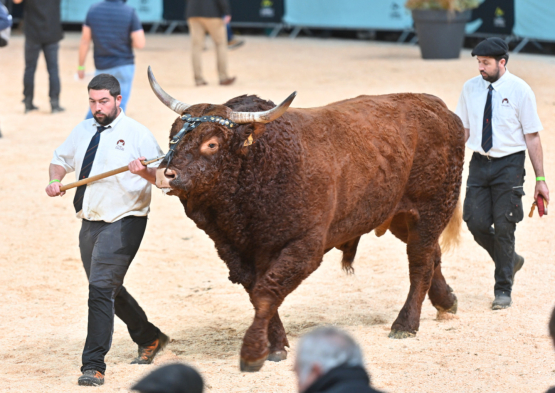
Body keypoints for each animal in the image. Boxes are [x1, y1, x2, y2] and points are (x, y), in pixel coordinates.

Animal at [148, 67, 464, 370]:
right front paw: (275, 344)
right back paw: (446, 301)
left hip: (433, 207)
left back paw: (405, 324)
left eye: (211, 144)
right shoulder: (234, 250)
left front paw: (257, 349)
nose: (165, 174)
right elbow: (257, 292)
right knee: (432, 254)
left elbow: (266, 292)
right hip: (399, 215)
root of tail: (436, 106)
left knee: (419, 262)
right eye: (173, 134)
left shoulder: (304, 246)